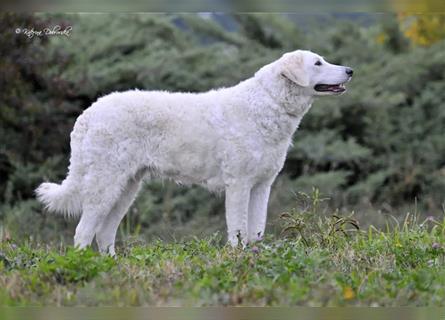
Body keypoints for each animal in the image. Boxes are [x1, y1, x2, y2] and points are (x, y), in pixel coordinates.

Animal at [35, 50, 350, 255]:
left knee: (104, 233)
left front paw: (255, 257)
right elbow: (238, 228)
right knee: (83, 232)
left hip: (126, 188)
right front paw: (236, 259)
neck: (268, 103)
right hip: (105, 184)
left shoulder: (262, 185)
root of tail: (88, 113)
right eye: (317, 62)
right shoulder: (238, 184)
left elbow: (256, 230)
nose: (350, 71)